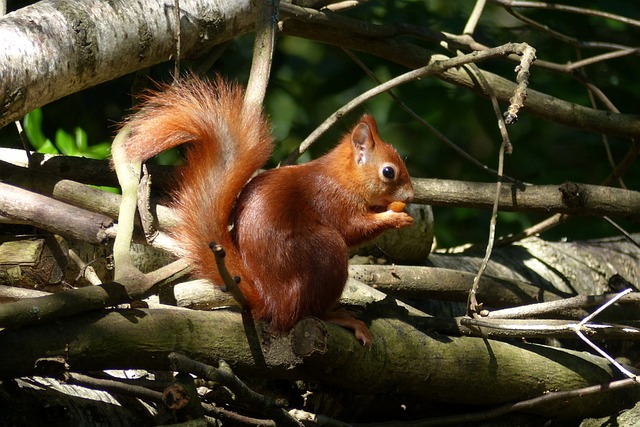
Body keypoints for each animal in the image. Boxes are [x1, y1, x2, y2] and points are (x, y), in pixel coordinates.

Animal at [117, 76, 412, 344]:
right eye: (388, 172)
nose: (410, 195)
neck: (343, 176)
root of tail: (273, 304)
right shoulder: (332, 199)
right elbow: (353, 228)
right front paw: (395, 217)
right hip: (326, 252)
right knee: (308, 312)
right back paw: (340, 317)